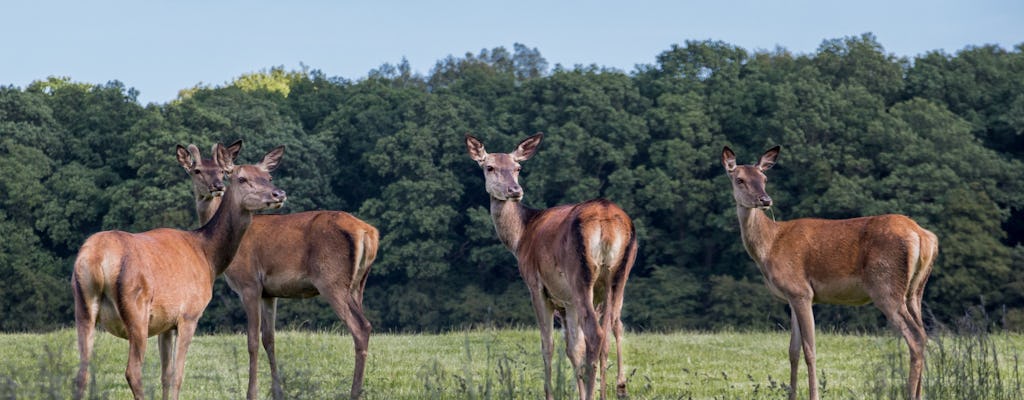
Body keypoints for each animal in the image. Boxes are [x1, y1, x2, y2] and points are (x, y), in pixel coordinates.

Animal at [74, 142, 286, 398]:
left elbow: (165, 375)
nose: (278, 194)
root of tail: (97, 258)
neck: (208, 256)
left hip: (83, 307)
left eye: (268, 176)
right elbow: (177, 376)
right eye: (242, 178)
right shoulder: (189, 314)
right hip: (136, 309)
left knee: (81, 374)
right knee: (132, 371)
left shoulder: (165, 323)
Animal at [178, 141, 378, 400]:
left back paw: (354, 392)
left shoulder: (249, 283)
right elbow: (269, 339)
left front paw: (251, 392)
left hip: (331, 279)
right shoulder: (269, 292)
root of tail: (368, 232)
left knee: (360, 327)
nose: (217, 186)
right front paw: (277, 391)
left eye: (268, 176)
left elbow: (252, 340)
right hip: (358, 283)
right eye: (197, 170)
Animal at [466, 132, 638, 398]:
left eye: (517, 168)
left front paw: (551, 392)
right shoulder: (567, 301)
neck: (520, 238)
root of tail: (608, 221)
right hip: (619, 274)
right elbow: (573, 348)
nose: (514, 190)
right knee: (614, 326)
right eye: (490, 167)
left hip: (580, 275)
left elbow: (548, 344)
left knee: (596, 332)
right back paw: (617, 388)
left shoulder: (536, 284)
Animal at [720, 146, 937, 400]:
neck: (770, 245)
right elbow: (792, 350)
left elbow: (809, 350)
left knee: (915, 338)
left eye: (764, 179)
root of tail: (922, 235)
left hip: (886, 287)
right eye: (740, 179)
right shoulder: (793, 296)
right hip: (915, 291)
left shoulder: (801, 291)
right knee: (924, 335)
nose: (765, 199)